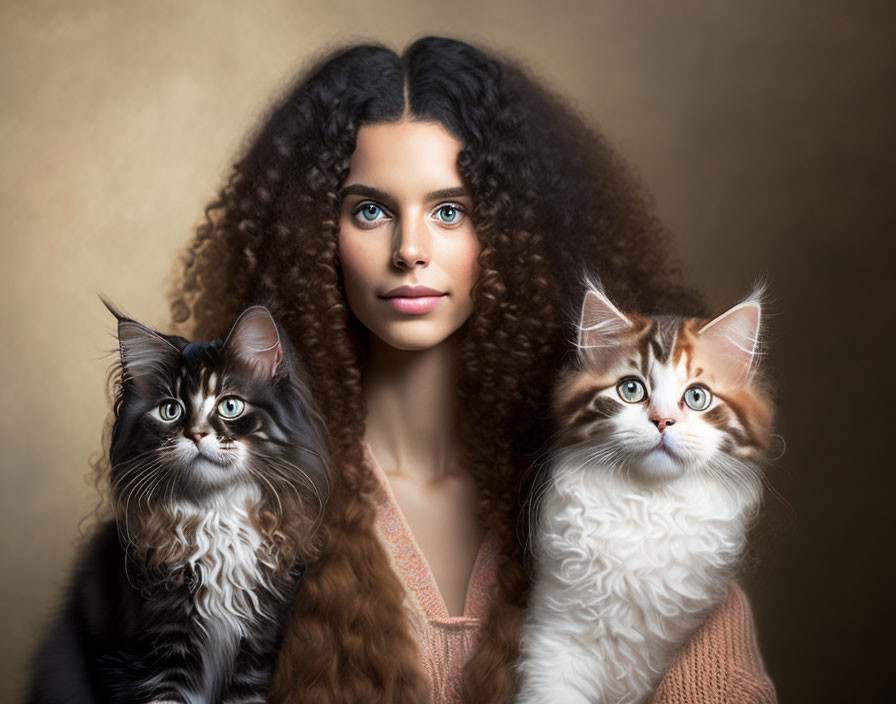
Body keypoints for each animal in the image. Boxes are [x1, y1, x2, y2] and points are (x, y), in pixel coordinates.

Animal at [27, 306, 332, 704]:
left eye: (230, 405)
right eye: (169, 411)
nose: (196, 434)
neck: (218, 514)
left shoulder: (255, 648)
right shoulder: (154, 651)